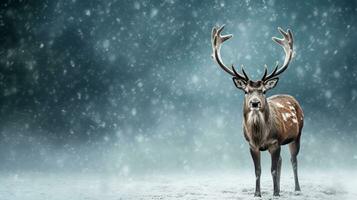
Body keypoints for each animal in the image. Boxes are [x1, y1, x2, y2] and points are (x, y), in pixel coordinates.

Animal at [211, 25, 304, 197]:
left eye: (263, 91)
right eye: (246, 91)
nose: (255, 103)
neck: (260, 135)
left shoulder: (275, 141)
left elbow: (272, 170)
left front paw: (275, 194)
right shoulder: (251, 145)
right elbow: (258, 171)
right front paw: (257, 194)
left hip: (297, 134)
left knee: (293, 160)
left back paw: (297, 189)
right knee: (281, 161)